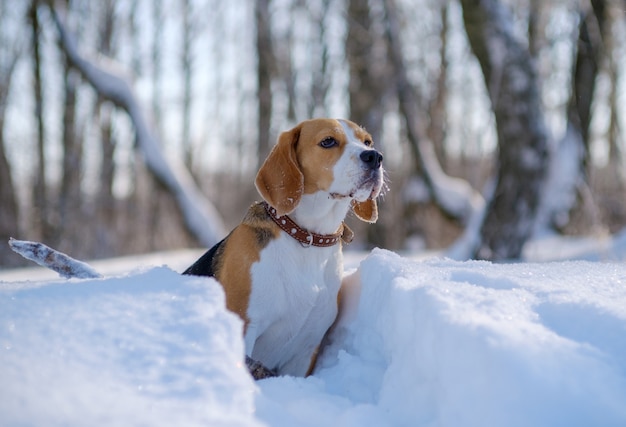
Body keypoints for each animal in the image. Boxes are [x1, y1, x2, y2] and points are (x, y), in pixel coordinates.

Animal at [183, 118, 382, 380]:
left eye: (367, 141)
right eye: (328, 141)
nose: (375, 157)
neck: (308, 238)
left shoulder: (305, 350)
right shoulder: (245, 326)